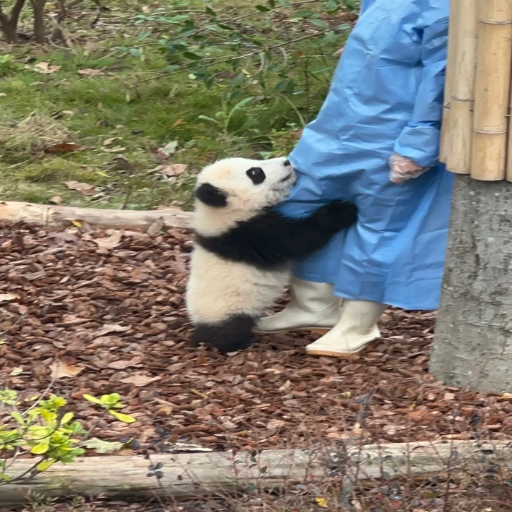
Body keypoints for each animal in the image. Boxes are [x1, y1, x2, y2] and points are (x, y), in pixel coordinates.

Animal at [186, 158, 358, 354]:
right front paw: (343, 210)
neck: (220, 214)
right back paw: (239, 343)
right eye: (255, 173)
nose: (287, 161)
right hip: (226, 310)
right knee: (228, 331)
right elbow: (299, 239)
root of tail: (198, 328)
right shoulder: (251, 235)